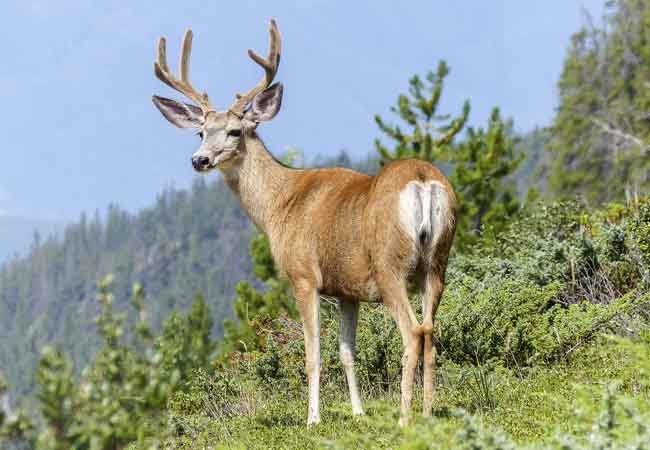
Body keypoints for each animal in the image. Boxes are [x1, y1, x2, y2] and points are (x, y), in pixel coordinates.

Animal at [151, 19, 457, 426]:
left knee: (413, 332)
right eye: (201, 131)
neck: (280, 205)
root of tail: (423, 182)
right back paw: (427, 413)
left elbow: (313, 353)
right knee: (431, 332)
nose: (199, 160)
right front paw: (358, 412)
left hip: (390, 264)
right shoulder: (347, 289)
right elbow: (347, 351)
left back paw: (405, 417)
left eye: (235, 131)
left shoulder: (303, 275)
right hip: (437, 262)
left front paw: (313, 418)